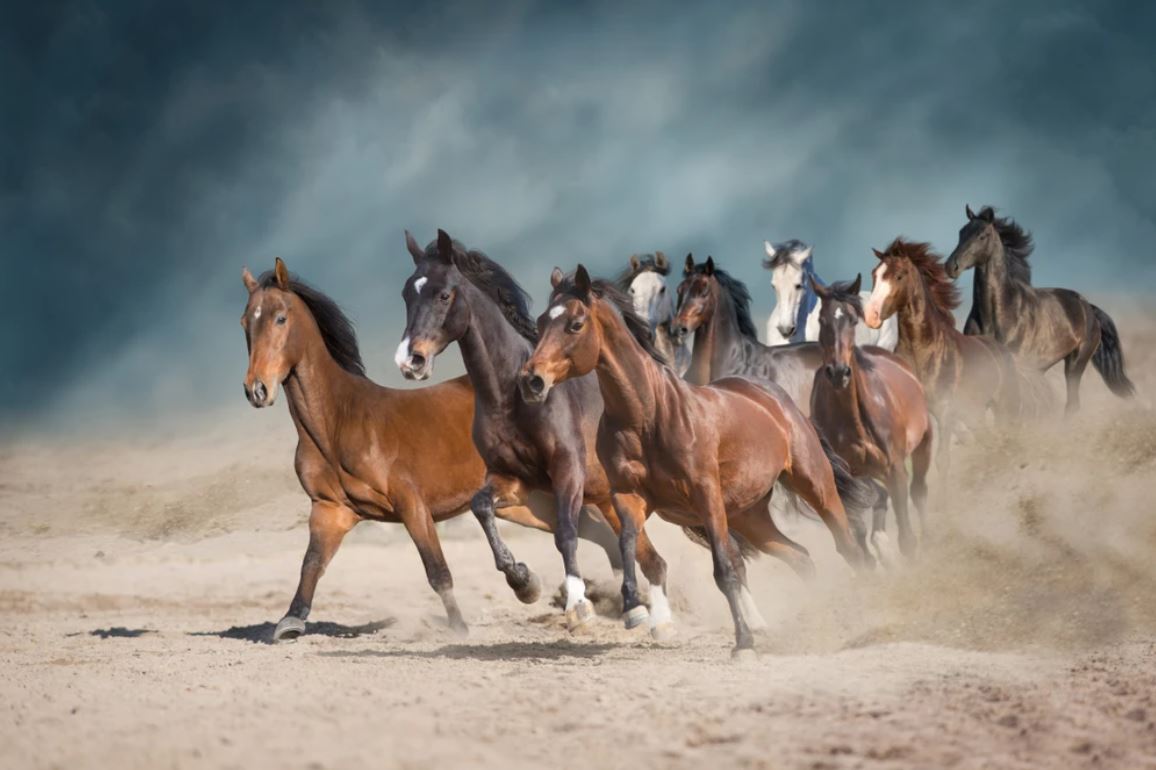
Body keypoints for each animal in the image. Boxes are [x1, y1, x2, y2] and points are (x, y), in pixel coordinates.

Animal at [240, 258, 623, 642]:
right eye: (245, 322)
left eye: (280, 318)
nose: (256, 390)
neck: (338, 425)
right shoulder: (329, 510)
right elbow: (311, 564)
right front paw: (290, 621)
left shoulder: (412, 505)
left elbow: (437, 570)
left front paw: (460, 628)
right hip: (529, 504)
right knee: (601, 536)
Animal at [393, 229, 675, 635]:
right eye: (406, 294)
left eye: (444, 294)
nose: (409, 360)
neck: (511, 397)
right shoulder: (512, 479)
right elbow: (481, 508)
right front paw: (524, 582)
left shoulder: (567, 472)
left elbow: (565, 534)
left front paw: (578, 607)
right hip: (611, 501)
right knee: (647, 557)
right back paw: (642, 611)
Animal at [809, 274, 933, 558]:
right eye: (822, 320)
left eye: (854, 320)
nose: (839, 372)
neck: (854, 421)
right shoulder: (848, 475)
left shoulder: (895, 469)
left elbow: (906, 537)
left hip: (924, 442)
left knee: (919, 492)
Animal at [863, 238, 1022, 473]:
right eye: (875, 274)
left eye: (899, 275)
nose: (871, 316)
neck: (923, 350)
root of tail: (1000, 349)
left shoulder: (945, 410)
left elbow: (942, 460)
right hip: (974, 412)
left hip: (1001, 405)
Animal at [945, 205, 1135, 414]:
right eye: (961, 232)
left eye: (982, 235)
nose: (951, 266)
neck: (997, 315)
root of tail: (1088, 308)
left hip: (1075, 364)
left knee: (1072, 404)